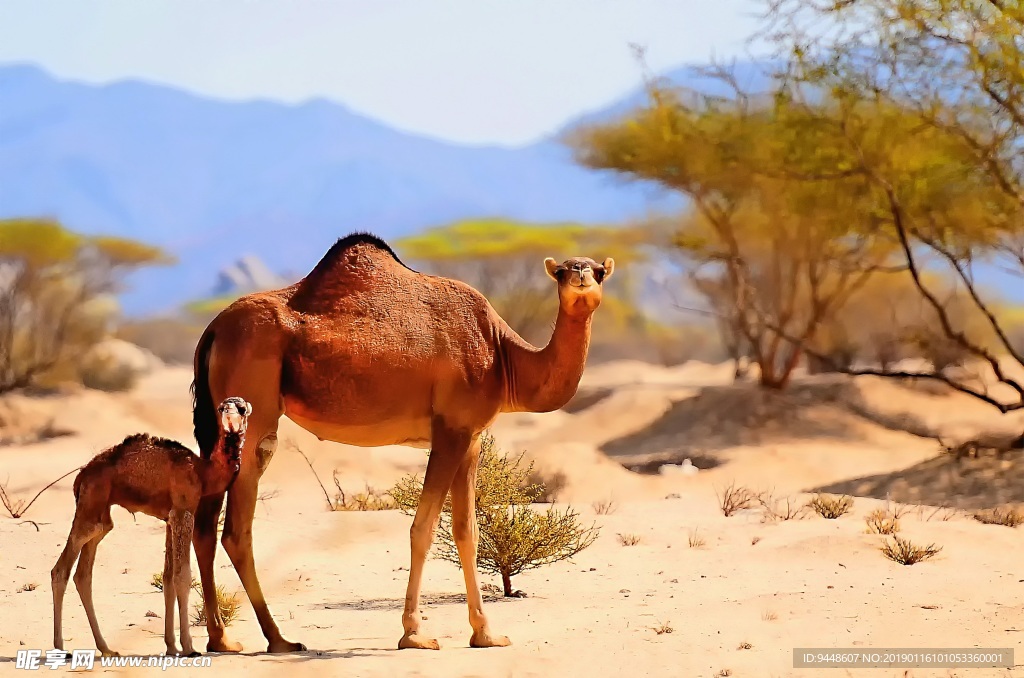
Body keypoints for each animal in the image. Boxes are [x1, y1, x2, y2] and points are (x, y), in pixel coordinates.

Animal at [51, 399, 249, 659]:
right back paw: (60, 648)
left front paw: (172, 646)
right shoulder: (183, 511)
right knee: (60, 571)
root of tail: (81, 476)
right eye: (222, 408)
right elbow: (182, 576)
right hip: (90, 506)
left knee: (83, 574)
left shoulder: (169, 519)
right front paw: (188, 647)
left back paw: (106, 648)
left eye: (242, 408)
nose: (229, 413)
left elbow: (168, 579)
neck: (202, 472)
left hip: (100, 514)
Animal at [189, 233, 610, 655]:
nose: (581, 275)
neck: (502, 355)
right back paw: (278, 639)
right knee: (236, 531)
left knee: (205, 526)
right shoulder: (451, 431)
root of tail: (212, 330)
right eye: (561, 271)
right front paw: (415, 634)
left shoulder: (472, 438)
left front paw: (486, 634)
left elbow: (467, 532)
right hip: (255, 417)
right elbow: (422, 529)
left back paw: (222, 639)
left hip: (219, 427)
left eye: (600, 271)